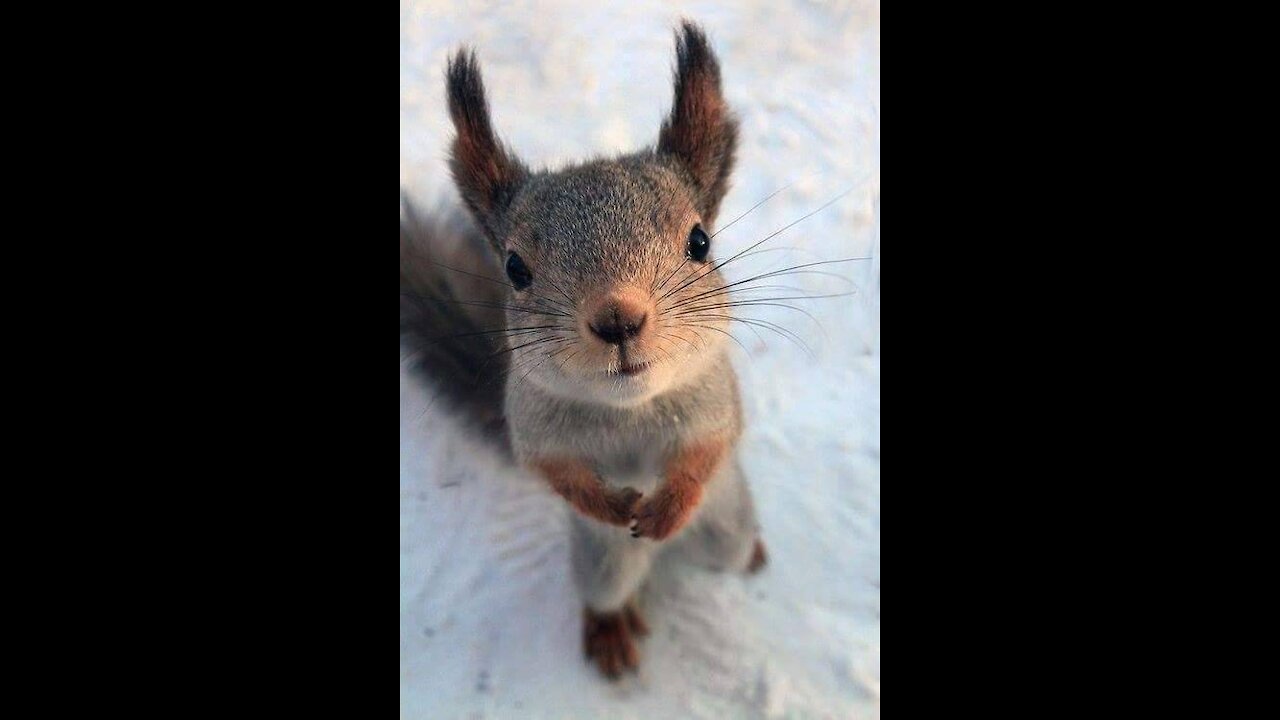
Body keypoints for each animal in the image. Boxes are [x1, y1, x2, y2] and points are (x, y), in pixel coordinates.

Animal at [401, 19, 757, 676]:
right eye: (514, 268)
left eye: (699, 241)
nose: (618, 321)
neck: (630, 408)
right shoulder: (531, 424)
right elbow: (553, 472)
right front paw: (616, 508)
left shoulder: (716, 401)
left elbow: (708, 449)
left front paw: (668, 505)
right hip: (603, 564)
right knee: (606, 591)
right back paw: (610, 630)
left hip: (730, 525)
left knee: (730, 547)